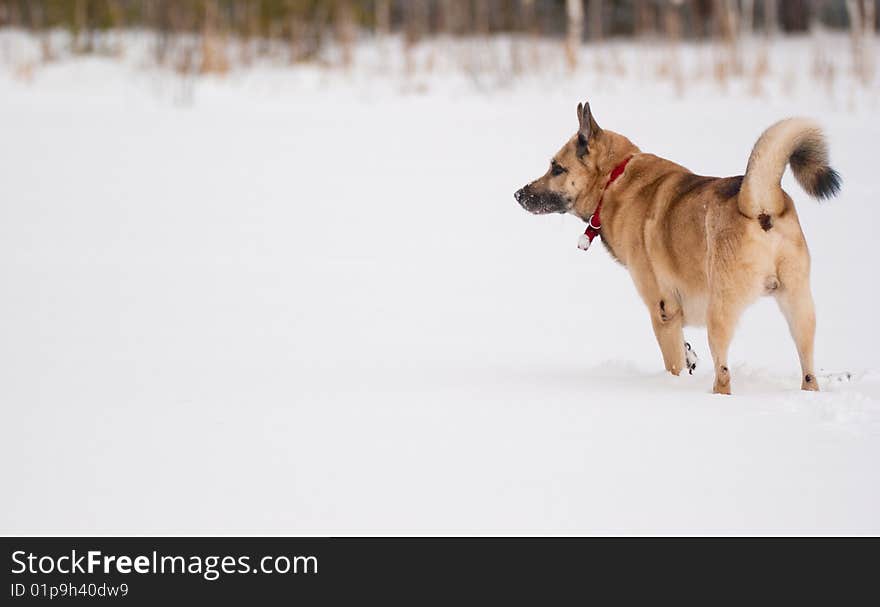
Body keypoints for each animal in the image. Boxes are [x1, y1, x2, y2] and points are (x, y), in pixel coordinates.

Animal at [516, 102, 840, 396]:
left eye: (557, 168)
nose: (518, 194)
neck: (614, 180)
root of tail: (760, 204)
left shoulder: (663, 311)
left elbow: (674, 362)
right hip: (799, 307)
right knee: (808, 371)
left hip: (719, 311)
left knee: (724, 374)